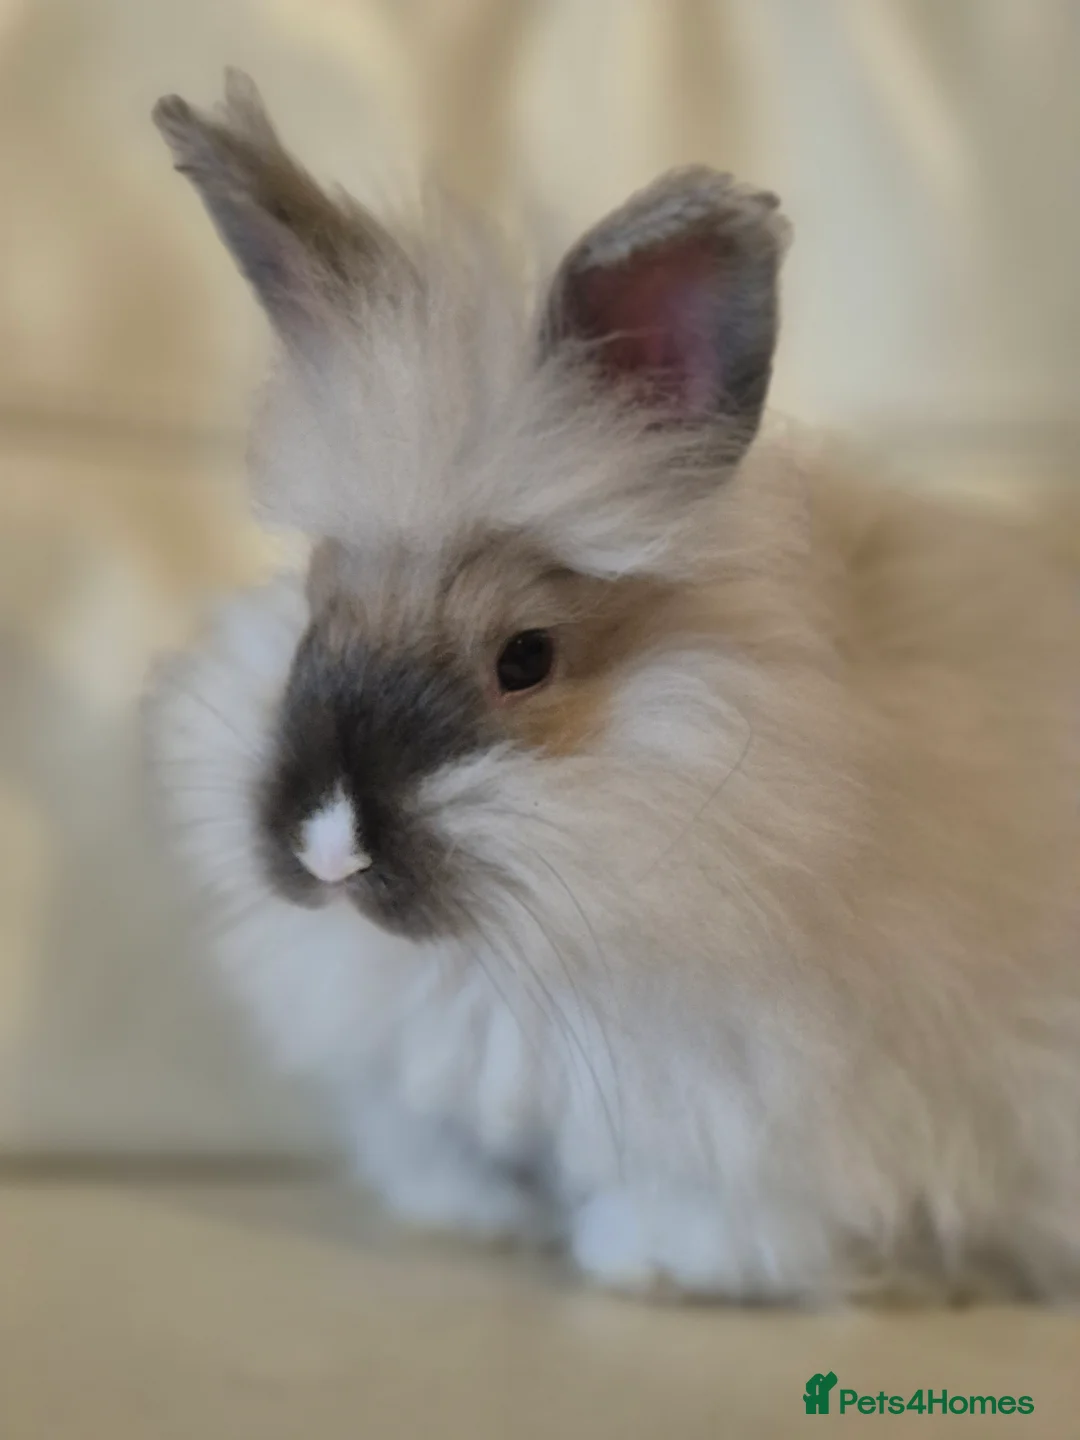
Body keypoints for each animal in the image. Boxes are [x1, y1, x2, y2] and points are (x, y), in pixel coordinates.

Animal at [147, 70, 1080, 1304]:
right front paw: (475, 1216)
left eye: (525, 658)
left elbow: (722, 1210)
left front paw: (644, 1259)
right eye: (314, 612)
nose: (328, 848)